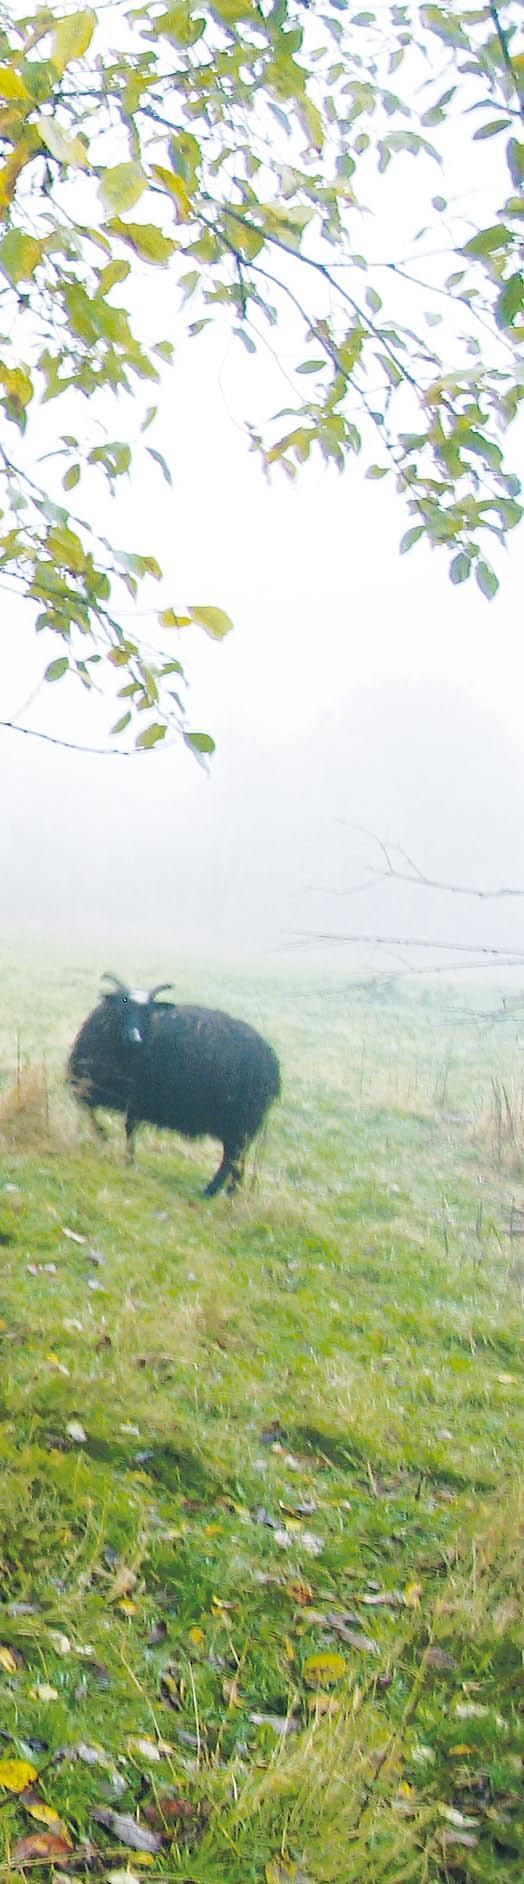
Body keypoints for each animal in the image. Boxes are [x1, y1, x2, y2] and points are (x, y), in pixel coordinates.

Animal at [66, 979, 280, 1198]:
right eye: (122, 1006)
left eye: (148, 1013)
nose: (134, 1038)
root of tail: (271, 1064)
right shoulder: (108, 1092)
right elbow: (99, 1114)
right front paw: (120, 1150)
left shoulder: (135, 1097)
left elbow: (124, 1127)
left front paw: (117, 1149)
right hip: (240, 1126)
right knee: (237, 1159)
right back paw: (230, 1193)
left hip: (238, 1122)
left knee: (231, 1158)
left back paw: (210, 1192)